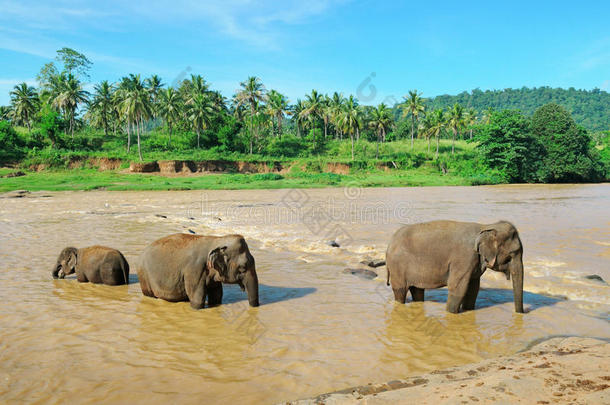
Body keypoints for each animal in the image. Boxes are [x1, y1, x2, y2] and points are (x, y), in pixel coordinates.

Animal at [384, 221, 524, 312]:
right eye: (512, 254)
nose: (521, 313)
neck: (486, 226)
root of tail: (390, 243)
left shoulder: (474, 262)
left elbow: (473, 288)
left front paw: (468, 310)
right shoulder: (464, 258)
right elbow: (458, 288)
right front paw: (451, 313)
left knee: (417, 290)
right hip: (397, 266)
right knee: (401, 290)